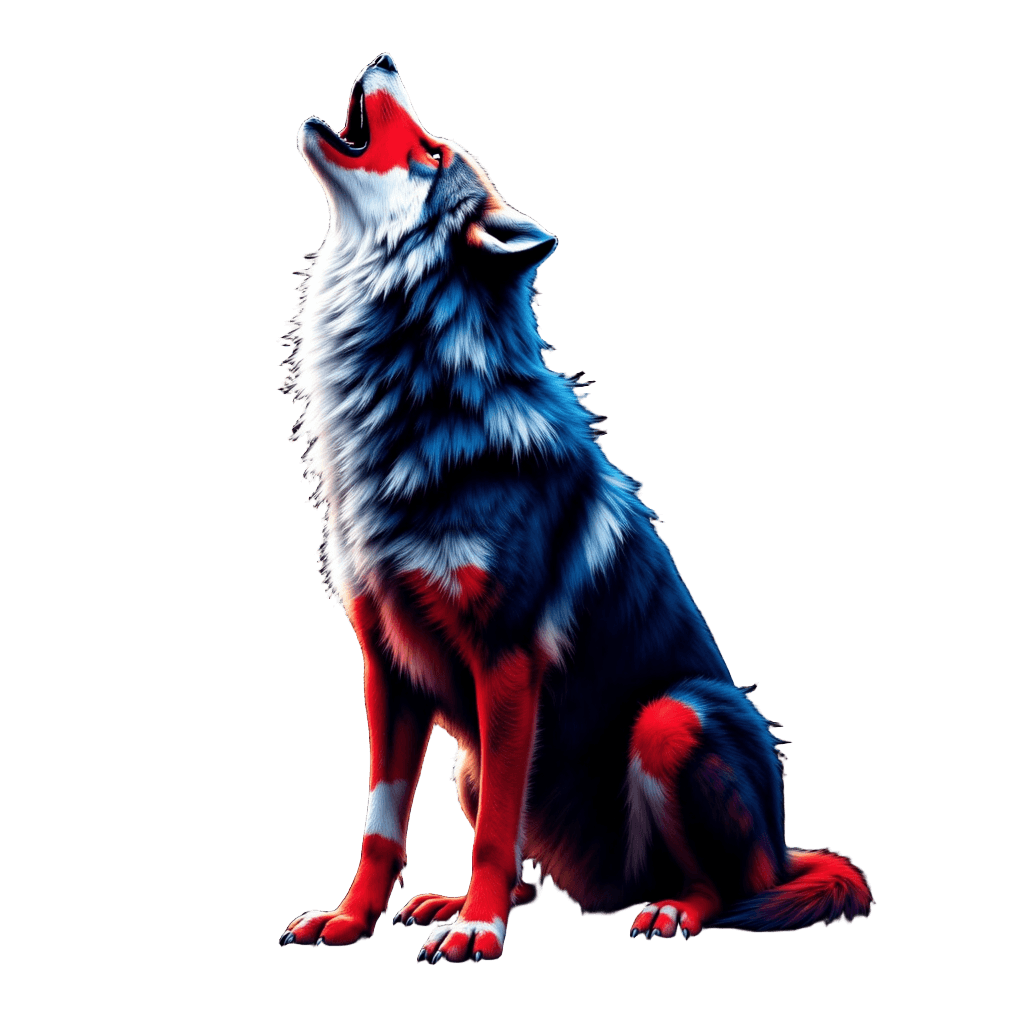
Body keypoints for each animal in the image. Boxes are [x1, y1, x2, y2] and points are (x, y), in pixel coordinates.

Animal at [277, 52, 872, 964]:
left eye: (433, 154)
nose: (383, 59)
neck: (412, 406)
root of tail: (782, 847)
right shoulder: (387, 665)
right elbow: (382, 823)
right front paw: (352, 918)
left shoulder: (508, 659)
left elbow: (494, 829)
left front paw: (478, 932)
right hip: (467, 760)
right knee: (538, 872)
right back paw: (450, 901)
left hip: (669, 720)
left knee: (721, 887)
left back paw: (664, 912)